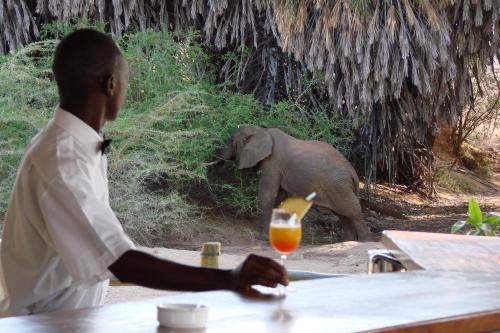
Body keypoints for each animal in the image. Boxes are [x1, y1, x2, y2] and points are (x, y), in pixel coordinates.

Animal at [219, 126, 372, 240]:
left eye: (231, 140)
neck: (262, 131)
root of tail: (353, 173)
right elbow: (279, 196)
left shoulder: (273, 163)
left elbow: (268, 194)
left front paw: (261, 238)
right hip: (339, 186)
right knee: (342, 213)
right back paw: (348, 240)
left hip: (338, 185)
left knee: (352, 210)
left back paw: (364, 241)